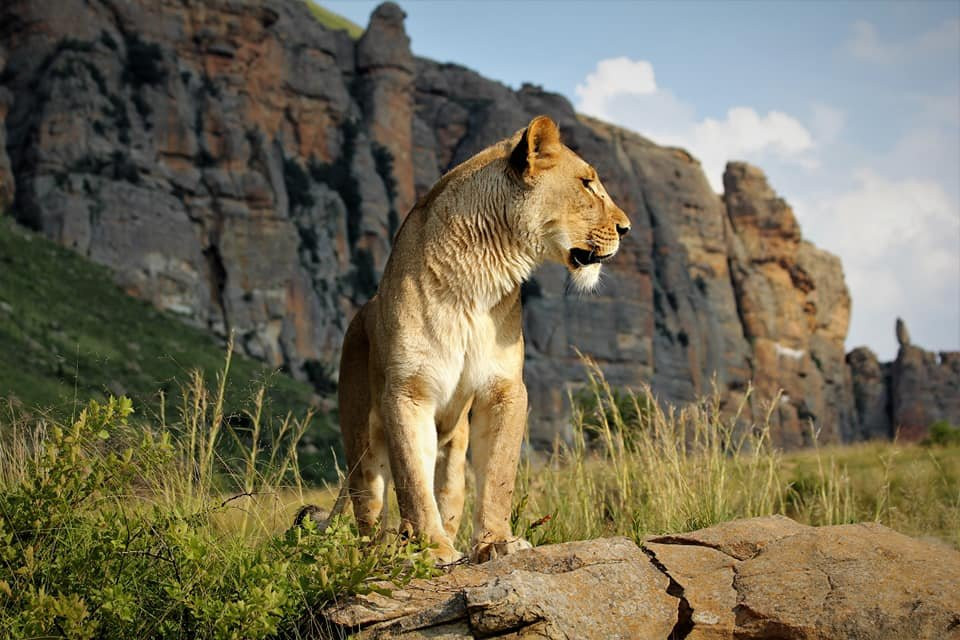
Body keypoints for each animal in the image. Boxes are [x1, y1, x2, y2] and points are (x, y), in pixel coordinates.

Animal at [329, 115, 630, 563]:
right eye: (587, 183)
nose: (626, 229)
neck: (478, 273)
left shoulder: (504, 388)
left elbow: (498, 475)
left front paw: (496, 542)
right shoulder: (407, 391)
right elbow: (413, 481)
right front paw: (433, 549)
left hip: (453, 448)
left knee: (450, 493)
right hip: (361, 446)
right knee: (370, 509)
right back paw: (381, 557)